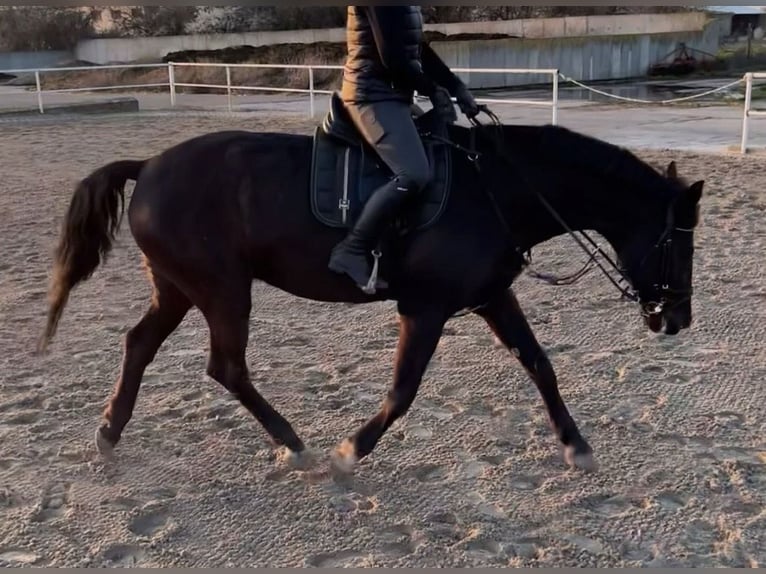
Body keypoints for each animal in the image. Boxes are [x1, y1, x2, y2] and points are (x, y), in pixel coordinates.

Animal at [37, 99, 703, 474]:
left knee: (139, 345)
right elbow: (404, 390)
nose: (675, 319)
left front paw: (576, 444)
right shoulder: (425, 308)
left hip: (179, 288)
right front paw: (349, 452)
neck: (496, 187)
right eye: (680, 242)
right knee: (225, 367)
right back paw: (295, 445)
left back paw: (109, 432)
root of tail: (148, 166)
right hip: (223, 289)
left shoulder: (492, 296)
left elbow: (541, 365)